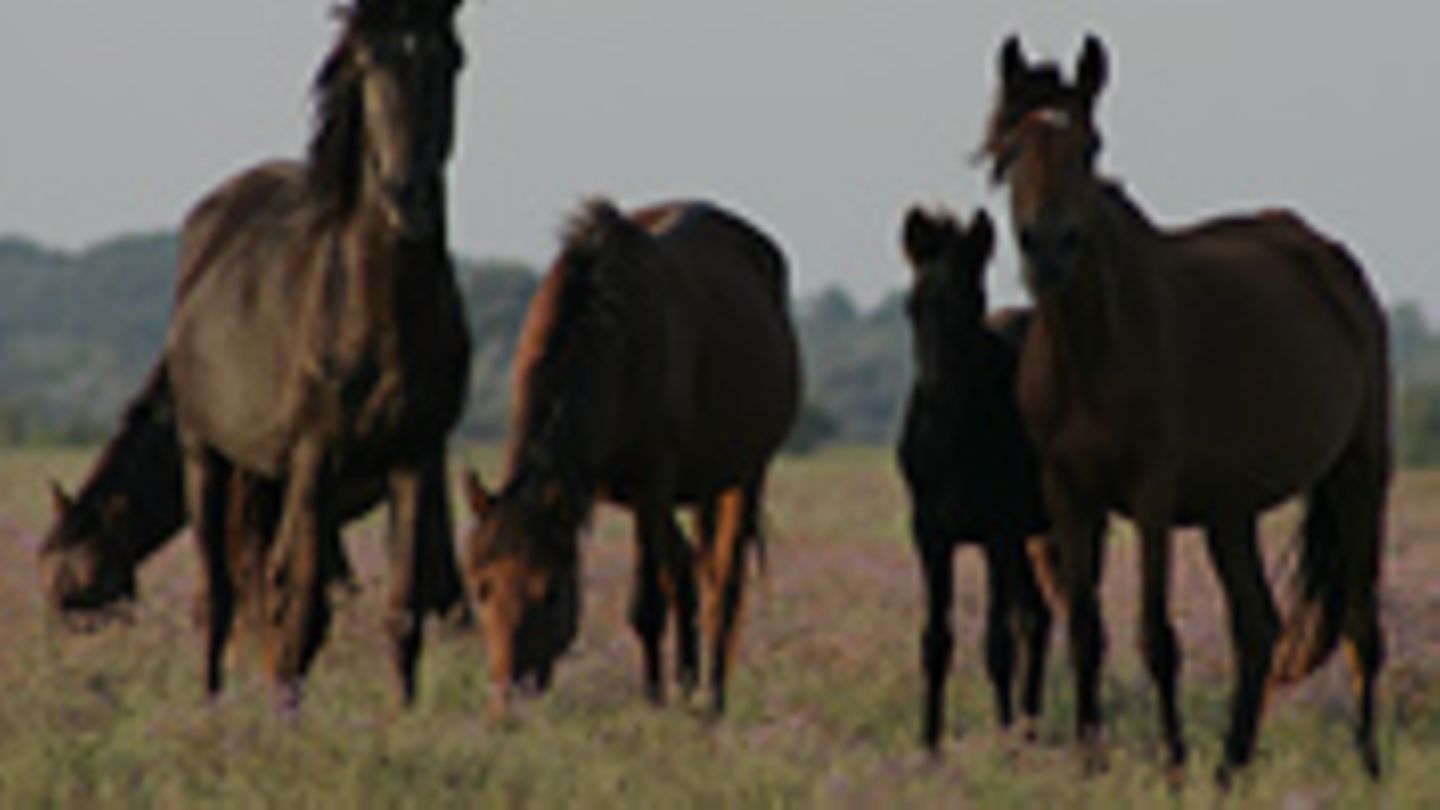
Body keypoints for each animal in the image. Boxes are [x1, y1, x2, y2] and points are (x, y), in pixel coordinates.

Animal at [163, 0, 470, 708]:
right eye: (367, 60)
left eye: (450, 59)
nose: (408, 196)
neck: (376, 310)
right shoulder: (315, 455)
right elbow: (300, 607)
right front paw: (286, 719)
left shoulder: (416, 456)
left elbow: (402, 610)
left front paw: (404, 718)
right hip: (206, 454)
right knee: (218, 597)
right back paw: (211, 704)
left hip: (266, 473)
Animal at [461, 198, 800, 717]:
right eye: (480, 586)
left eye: (551, 591)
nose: (507, 704)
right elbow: (666, 587)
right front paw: (664, 693)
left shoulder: (651, 484)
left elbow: (649, 604)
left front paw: (658, 701)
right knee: (690, 571)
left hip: (743, 475)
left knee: (722, 587)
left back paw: (712, 700)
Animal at [897, 205, 1054, 750]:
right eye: (911, 306)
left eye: (975, 301)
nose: (938, 398)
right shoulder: (929, 533)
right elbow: (934, 641)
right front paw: (928, 746)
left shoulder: (997, 531)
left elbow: (997, 643)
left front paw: (1001, 743)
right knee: (1040, 617)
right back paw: (1031, 728)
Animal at [983, 35, 1390, 782]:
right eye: (1010, 150)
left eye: (1091, 146)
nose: (1048, 247)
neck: (1096, 349)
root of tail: (1332, 262)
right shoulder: (1068, 495)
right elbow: (1085, 630)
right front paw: (1090, 764)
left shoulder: (1152, 493)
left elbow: (1156, 634)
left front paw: (1171, 766)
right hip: (1231, 509)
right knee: (1258, 628)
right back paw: (1230, 770)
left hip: (1359, 472)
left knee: (1359, 628)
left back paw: (1370, 770)